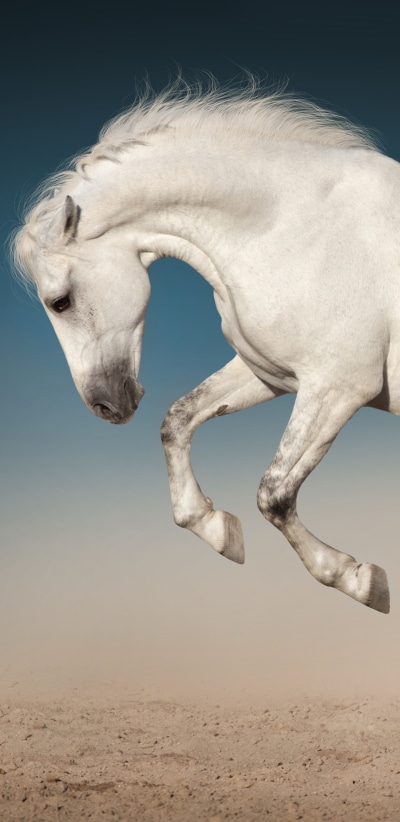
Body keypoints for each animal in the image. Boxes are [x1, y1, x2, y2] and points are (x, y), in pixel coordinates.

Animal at [13, 80, 400, 615]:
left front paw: (359, 579)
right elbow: (177, 421)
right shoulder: (273, 376)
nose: (105, 406)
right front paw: (217, 529)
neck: (290, 223)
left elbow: (274, 494)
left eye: (60, 301)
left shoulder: (339, 386)